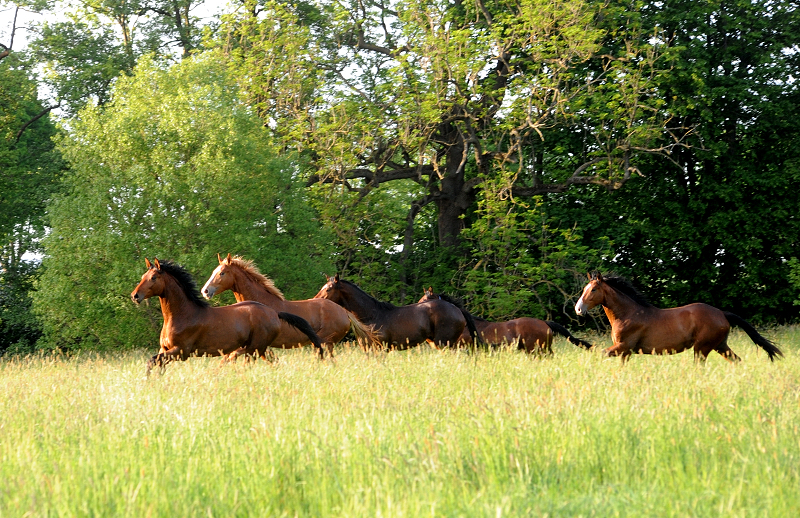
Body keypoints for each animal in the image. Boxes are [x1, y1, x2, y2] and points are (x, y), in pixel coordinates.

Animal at [130, 258, 324, 374]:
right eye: (144, 275)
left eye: (153, 278)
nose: (135, 295)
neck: (183, 314)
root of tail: (274, 312)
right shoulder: (165, 350)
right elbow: (156, 363)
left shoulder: (181, 351)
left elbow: (152, 361)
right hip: (259, 349)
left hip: (255, 347)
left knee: (242, 359)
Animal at [312, 274, 468, 352]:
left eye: (328, 289)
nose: (314, 300)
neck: (372, 316)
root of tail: (456, 309)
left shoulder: (382, 349)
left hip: (445, 343)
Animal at [576, 274, 780, 364]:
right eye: (585, 288)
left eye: (593, 289)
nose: (578, 309)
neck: (628, 314)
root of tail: (722, 313)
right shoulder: (624, 351)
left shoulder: (624, 346)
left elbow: (600, 353)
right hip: (720, 345)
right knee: (736, 360)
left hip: (702, 347)